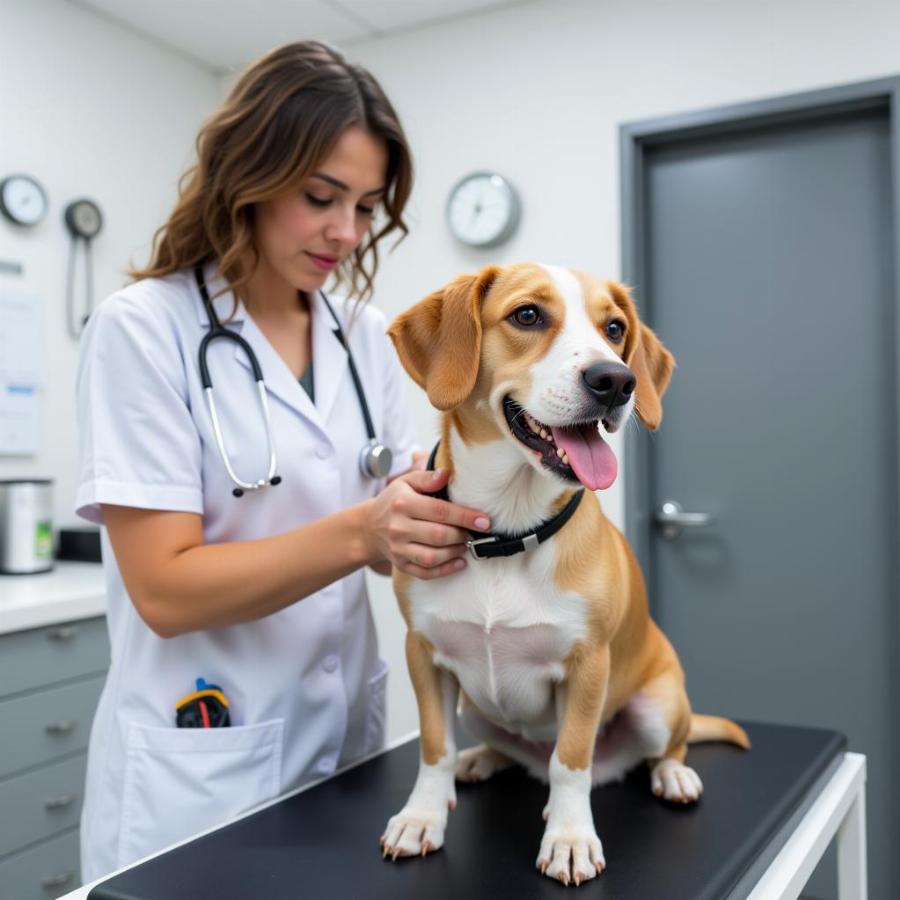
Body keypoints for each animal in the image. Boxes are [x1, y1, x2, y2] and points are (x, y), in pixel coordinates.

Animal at [378, 262, 744, 884]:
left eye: (615, 328)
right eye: (527, 315)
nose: (616, 381)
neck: (506, 533)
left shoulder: (588, 665)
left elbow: (570, 760)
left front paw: (569, 836)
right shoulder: (423, 653)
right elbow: (433, 748)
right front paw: (421, 816)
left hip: (656, 707)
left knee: (652, 750)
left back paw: (671, 774)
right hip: (474, 709)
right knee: (508, 752)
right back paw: (482, 760)